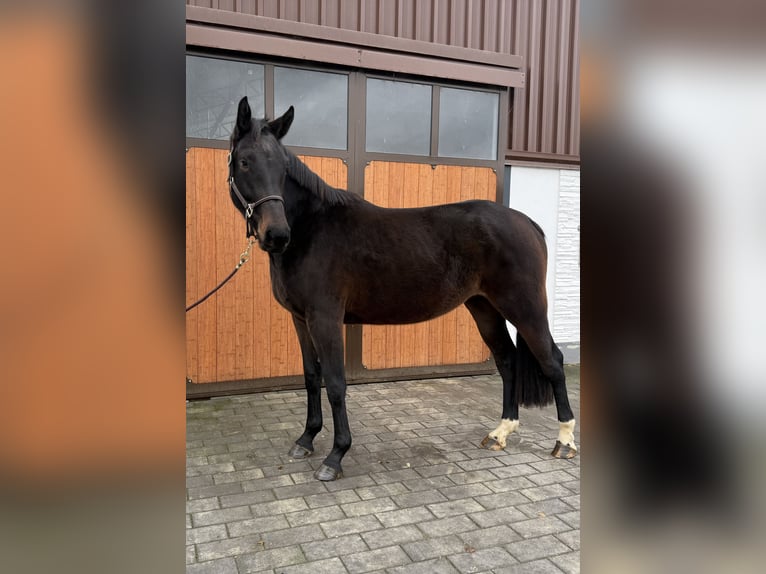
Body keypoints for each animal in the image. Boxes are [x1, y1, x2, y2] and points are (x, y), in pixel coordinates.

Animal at [231, 98, 580, 482]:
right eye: (245, 161)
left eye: (281, 167)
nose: (277, 235)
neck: (312, 229)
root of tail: (527, 223)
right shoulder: (300, 319)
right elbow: (311, 377)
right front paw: (306, 439)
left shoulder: (325, 318)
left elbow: (335, 383)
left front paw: (335, 456)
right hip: (484, 308)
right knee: (506, 360)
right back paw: (500, 433)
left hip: (525, 307)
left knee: (553, 361)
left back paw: (564, 442)